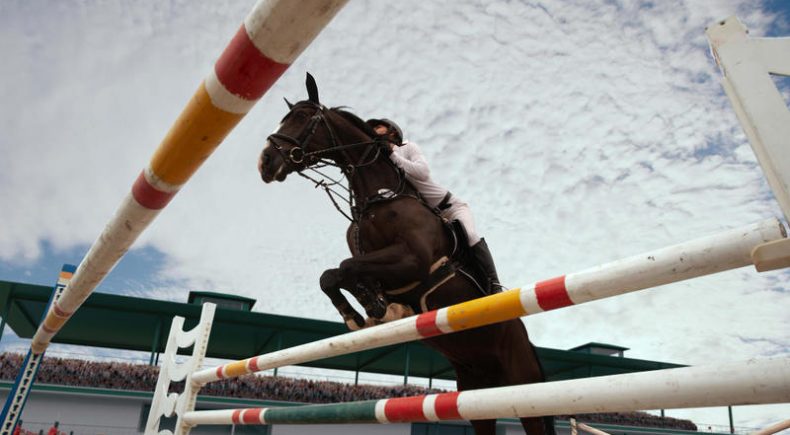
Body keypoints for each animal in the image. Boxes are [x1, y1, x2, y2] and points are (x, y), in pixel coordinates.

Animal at [260, 73, 556, 434]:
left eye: (302, 118)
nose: (265, 162)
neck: (378, 198)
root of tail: (528, 342)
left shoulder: (413, 260)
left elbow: (344, 267)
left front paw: (369, 309)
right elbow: (334, 274)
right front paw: (368, 309)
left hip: (525, 392)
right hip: (475, 392)